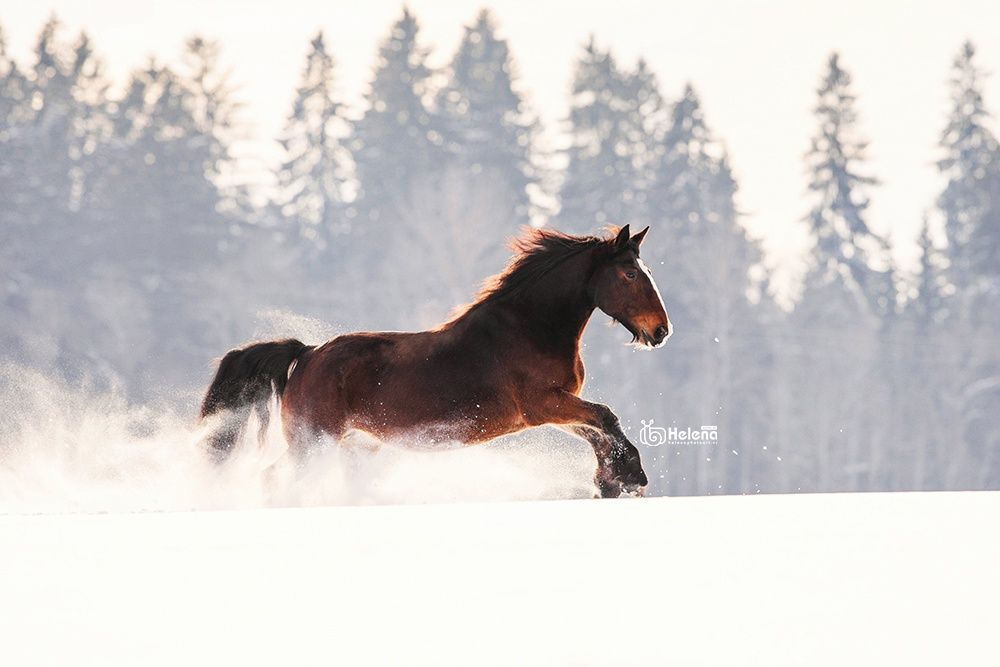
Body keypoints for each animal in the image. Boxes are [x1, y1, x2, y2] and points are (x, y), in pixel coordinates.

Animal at [200, 224, 672, 498]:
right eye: (630, 273)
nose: (661, 330)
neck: (528, 328)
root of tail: (308, 354)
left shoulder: (554, 407)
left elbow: (597, 429)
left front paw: (611, 482)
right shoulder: (542, 404)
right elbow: (606, 417)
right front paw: (629, 478)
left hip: (349, 445)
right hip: (312, 441)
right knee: (274, 476)